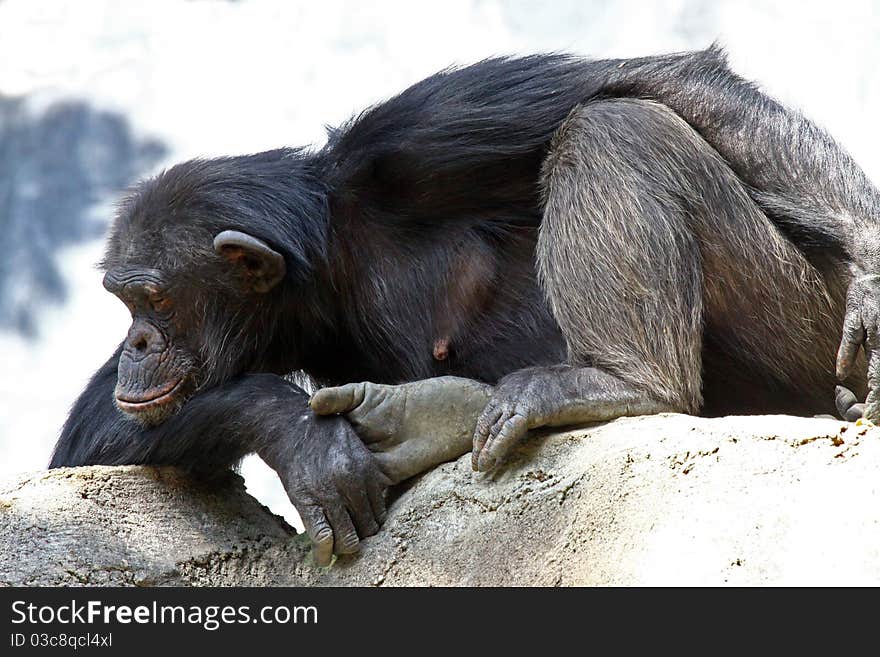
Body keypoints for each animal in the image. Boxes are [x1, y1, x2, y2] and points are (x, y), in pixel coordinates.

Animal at [49, 44, 880, 564]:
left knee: (616, 119)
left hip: (802, 330)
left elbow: (667, 83)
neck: (331, 257)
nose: (139, 344)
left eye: (153, 299)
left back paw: (620, 380)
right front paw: (306, 441)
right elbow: (94, 437)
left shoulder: (423, 131)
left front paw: (872, 270)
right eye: (126, 303)